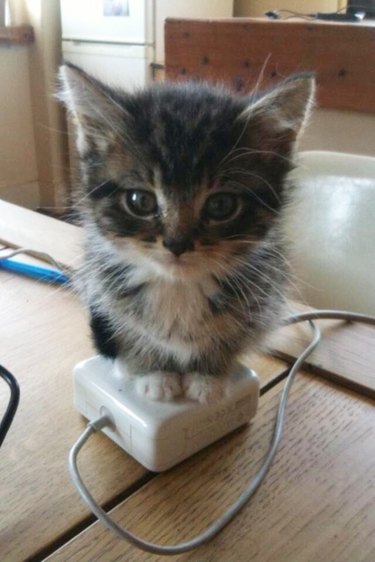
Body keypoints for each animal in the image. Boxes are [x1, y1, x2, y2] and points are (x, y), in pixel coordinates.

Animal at [59, 64, 314, 402]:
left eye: (221, 205)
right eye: (140, 201)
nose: (176, 244)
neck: (179, 287)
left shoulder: (263, 292)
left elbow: (229, 337)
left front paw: (208, 376)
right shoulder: (103, 285)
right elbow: (130, 331)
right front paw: (154, 373)